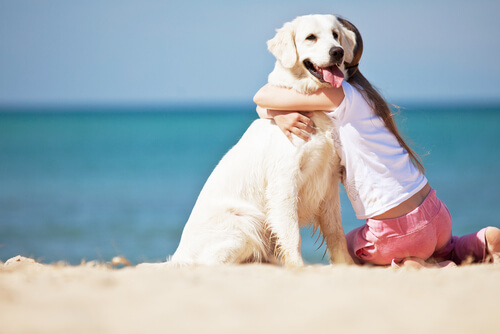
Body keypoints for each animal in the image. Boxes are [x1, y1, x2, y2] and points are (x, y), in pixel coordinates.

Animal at [147, 14, 356, 268]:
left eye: (335, 34)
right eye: (311, 37)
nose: (337, 52)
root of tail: (179, 256)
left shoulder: (328, 180)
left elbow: (336, 233)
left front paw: (348, 266)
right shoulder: (284, 180)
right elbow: (291, 233)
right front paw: (298, 267)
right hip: (245, 222)